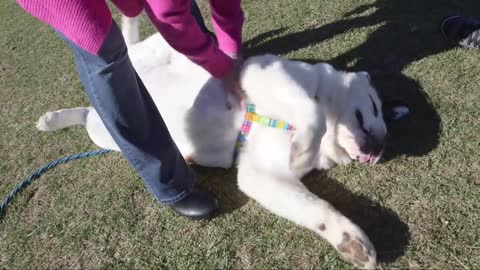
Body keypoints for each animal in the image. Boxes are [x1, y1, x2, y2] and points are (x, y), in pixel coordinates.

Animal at [36, 16, 394, 268]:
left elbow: (315, 206)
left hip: (103, 131)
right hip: (146, 61)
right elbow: (312, 110)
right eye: (375, 106)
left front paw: (349, 241)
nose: (379, 149)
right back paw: (55, 117)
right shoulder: (262, 74)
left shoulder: (260, 175)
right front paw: (305, 143)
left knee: (91, 111)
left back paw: (54, 119)